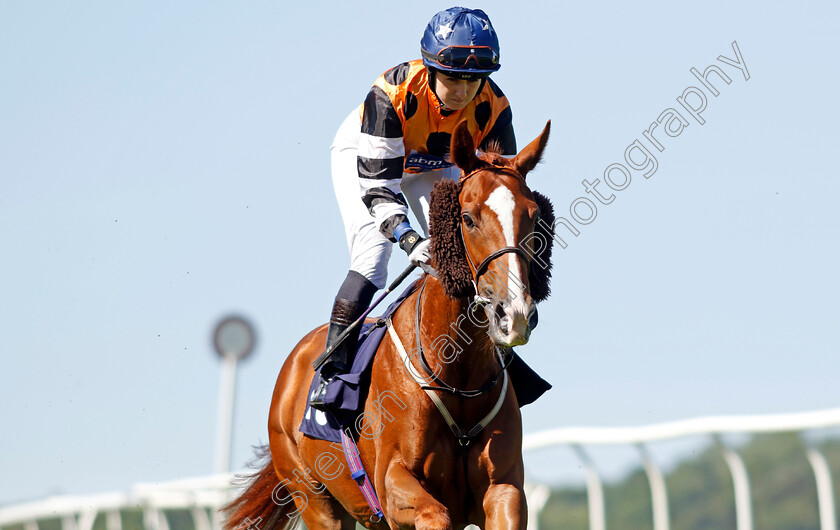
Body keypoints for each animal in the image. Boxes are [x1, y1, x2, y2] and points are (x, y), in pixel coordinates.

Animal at [223, 119, 556, 528]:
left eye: (535, 217)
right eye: (467, 218)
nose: (514, 314)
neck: (457, 375)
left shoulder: (504, 489)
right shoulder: (393, 483)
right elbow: (435, 513)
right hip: (314, 498)